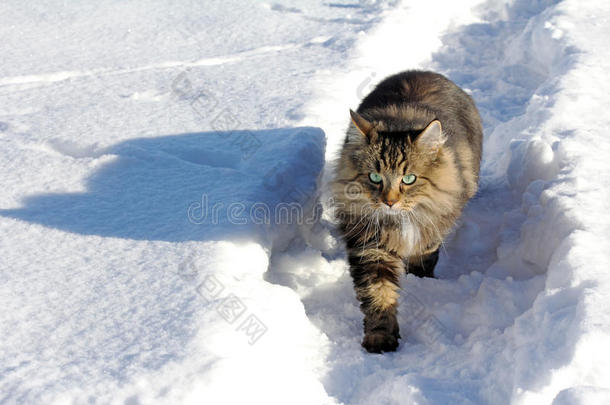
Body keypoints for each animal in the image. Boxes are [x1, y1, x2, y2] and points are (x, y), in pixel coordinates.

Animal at [330, 71, 482, 352]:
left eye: (409, 179)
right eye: (375, 177)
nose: (389, 201)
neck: (399, 222)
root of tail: (423, 72)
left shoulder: (430, 232)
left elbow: (423, 259)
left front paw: (421, 281)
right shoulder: (372, 247)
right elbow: (378, 294)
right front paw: (380, 338)